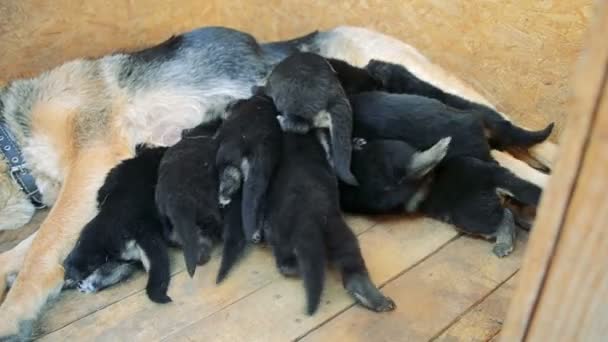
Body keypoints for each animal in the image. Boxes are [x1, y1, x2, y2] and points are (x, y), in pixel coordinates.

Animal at [63, 146, 171, 304]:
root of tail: (142, 228)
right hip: (130, 258)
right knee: (119, 270)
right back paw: (91, 283)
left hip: (93, 239)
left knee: (79, 262)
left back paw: (71, 278)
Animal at [264, 131, 396, 316]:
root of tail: (307, 217)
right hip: (336, 230)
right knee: (352, 263)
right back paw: (374, 298)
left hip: (278, 229)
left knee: (281, 252)